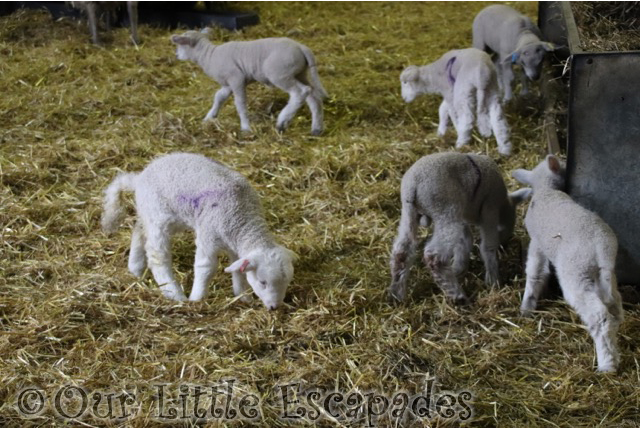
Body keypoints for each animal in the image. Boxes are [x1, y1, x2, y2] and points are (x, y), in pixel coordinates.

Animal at [100, 150, 298, 308]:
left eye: (288, 282)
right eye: (263, 282)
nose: (274, 307)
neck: (242, 220)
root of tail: (139, 177)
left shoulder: (235, 247)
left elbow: (238, 271)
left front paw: (243, 296)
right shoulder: (208, 235)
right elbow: (206, 267)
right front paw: (197, 299)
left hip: (157, 214)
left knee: (139, 230)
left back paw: (135, 268)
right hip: (158, 216)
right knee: (157, 255)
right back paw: (175, 294)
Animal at [170, 31, 328, 135]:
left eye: (180, 44)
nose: (176, 55)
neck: (208, 56)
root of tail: (302, 47)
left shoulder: (236, 78)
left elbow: (240, 103)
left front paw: (245, 127)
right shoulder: (227, 84)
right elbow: (219, 97)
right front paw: (209, 117)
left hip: (279, 74)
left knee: (300, 92)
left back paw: (282, 122)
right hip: (299, 73)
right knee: (313, 96)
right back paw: (316, 129)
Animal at [388, 152, 532, 302]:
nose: (505, 244)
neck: (503, 205)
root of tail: (413, 185)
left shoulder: (462, 216)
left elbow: (464, 241)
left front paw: (458, 268)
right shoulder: (489, 209)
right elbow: (488, 246)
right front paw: (493, 280)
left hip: (409, 212)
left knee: (401, 251)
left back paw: (396, 294)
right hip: (445, 208)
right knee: (434, 256)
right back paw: (458, 296)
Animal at [512, 155, 624, 372]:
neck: (546, 189)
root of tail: (601, 248)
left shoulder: (537, 242)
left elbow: (535, 271)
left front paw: (527, 307)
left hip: (576, 273)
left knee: (600, 316)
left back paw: (606, 364)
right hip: (604, 275)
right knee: (615, 307)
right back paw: (613, 352)